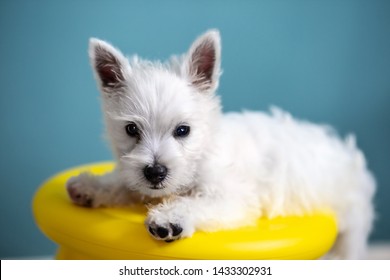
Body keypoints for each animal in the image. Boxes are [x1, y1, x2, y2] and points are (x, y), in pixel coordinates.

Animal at [66, 29, 374, 260]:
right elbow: (126, 184)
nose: (155, 172)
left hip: (352, 223)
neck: (202, 152)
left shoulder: (233, 199)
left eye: (183, 130)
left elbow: (197, 204)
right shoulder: (142, 180)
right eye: (131, 129)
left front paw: (170, 218)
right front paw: (91, 186)